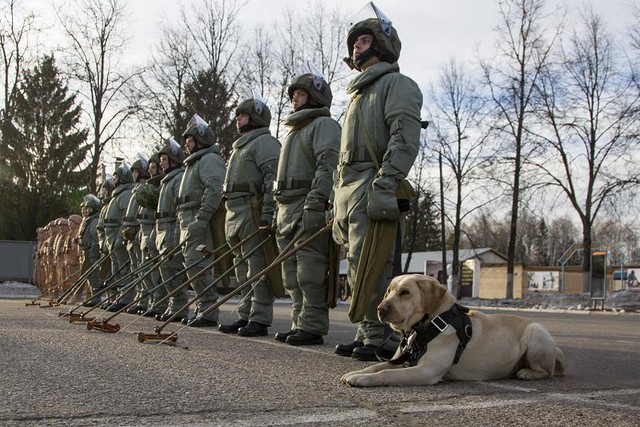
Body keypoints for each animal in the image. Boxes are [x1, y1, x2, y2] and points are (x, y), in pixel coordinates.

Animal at [340, 274, 564, 388]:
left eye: (405, 292)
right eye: (389, 291)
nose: (380, 309)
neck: (425, 325)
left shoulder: (427, 370)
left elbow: (386, 373)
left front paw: (364, 379)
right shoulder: (401, 359)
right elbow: (376, 366)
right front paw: (356, 373)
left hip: (536, 333)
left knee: (548, 371)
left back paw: (527, 372)